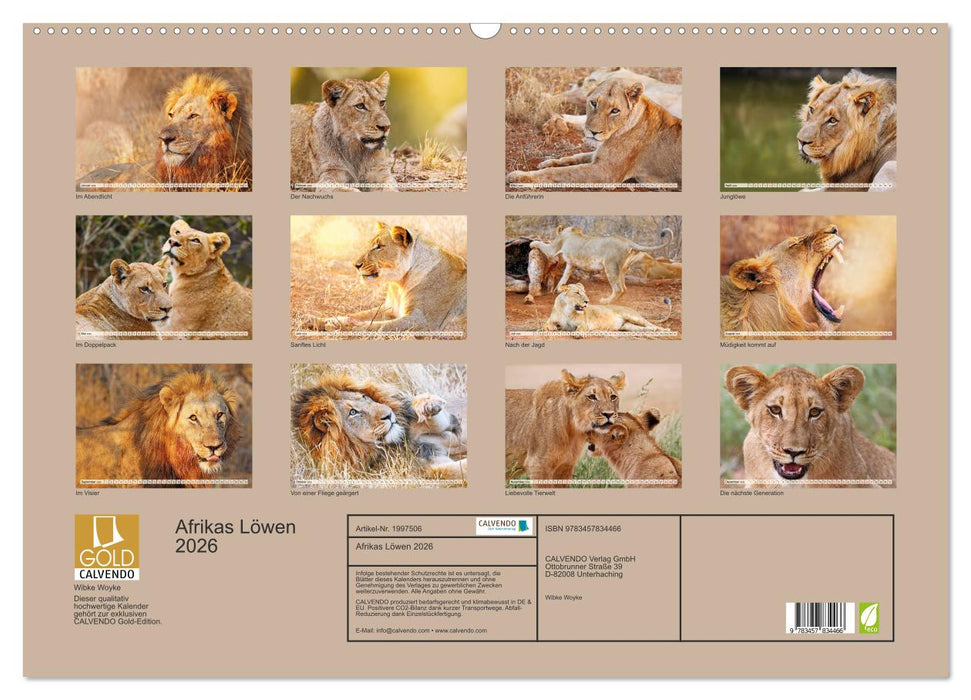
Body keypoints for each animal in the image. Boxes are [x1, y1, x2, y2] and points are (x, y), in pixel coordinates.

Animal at [291, 375, 466, 481]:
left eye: (364, 397)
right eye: (353, 412)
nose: (389, 415)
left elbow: (440, 418)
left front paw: (428, 404)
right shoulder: (428, 468)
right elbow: (455, 469)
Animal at [312, 222, 467, 335]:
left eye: (379, 246)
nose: (356, 265)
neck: (400, 283)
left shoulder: (425, 321)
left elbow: (383, 326)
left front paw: (348, 327)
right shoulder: (389, 309)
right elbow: (357, 314)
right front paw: (319, 321)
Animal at [507, 77, 682, 188]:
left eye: (615, 110)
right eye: (593, 103)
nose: (593, 132)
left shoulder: (605, 172)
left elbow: (562, 172)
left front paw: (519, 176)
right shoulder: (598, 157)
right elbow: (573, 158)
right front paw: (548, 162)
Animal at [530, 225, 670, 303]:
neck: (570, 231)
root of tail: (627, 241)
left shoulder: (553, 249)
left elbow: (541, 244)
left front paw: (532, 243)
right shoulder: (571, 264)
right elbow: (564, 277)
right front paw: (559, 289)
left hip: (610, 267)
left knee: (618, 289)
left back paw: (605, 301)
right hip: (621, 269)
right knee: (624, 288)